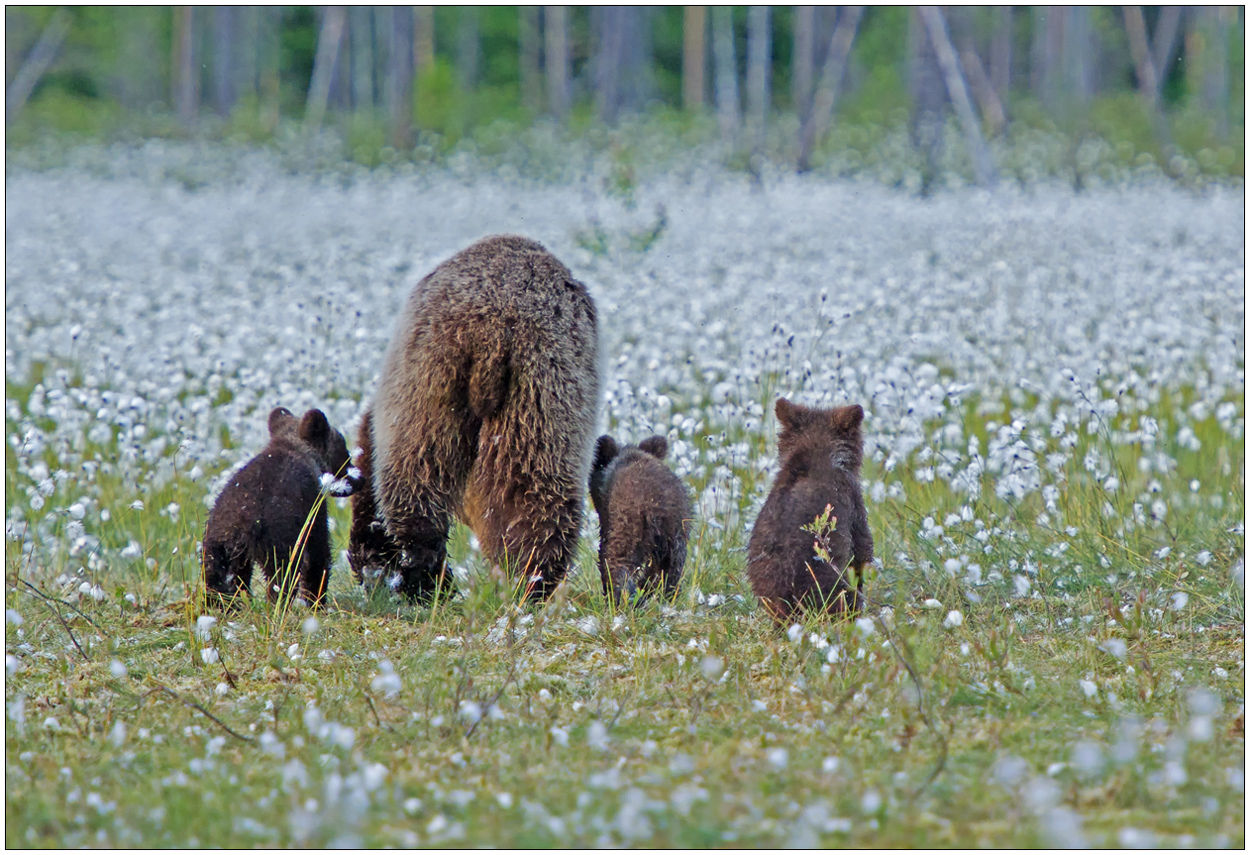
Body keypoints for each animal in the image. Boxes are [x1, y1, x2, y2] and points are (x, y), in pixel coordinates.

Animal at [201, 407, 355, 607]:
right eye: (345, 451)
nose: (359, 479)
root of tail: (240, 528)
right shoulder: (312, 504)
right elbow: (317, 553)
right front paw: (316, 600)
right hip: (276, 539)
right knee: (282, 577)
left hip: (215, 547)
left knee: (219, 582)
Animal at [350, 233, 602, 600]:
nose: (363, 569)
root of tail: (493, 327)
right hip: (517, 381)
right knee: (528, 487)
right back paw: (524, 579)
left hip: (447, 372)